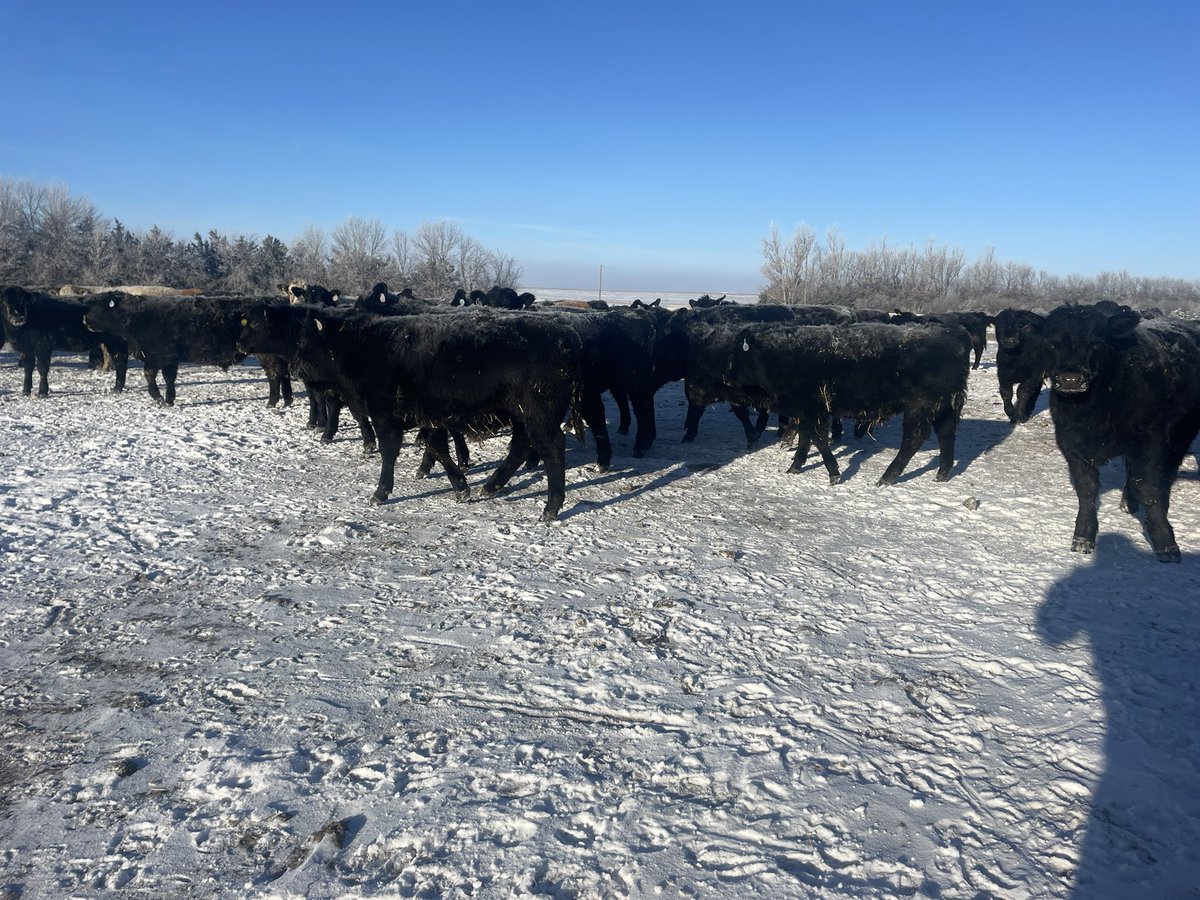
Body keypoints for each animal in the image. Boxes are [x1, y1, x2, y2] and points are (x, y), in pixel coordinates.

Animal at [0, 285, 129, 396]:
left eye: (24, 302)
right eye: (5, 302)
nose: (18, 317)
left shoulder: (42, 345)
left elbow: (42, 368)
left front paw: (42, 392)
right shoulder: (27, 347)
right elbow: (28, 368)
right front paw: (26, 391)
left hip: (116, 342)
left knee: (120, 362)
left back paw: (117, 388)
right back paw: (117, 388)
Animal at [723, 322, 971, 485]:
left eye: (738, 353)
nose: (726, 378)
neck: (782, 355)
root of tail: (955, 332)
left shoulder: (812, 409)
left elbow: (818, 439)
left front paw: (833, 473)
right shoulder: (806, 411)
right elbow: (806, 438)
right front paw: (796, 466)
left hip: (919, 407)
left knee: (914, 439)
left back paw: (886, 477)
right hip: (944, 407)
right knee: (946, 434)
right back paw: (942, 474)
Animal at [1041, 302, 1200, 562]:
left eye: (1096, 343)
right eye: (1052, 344)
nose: (1070, 379)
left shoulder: (1151, 441)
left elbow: (1149, 488)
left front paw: (1165, 542)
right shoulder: (1070, 443)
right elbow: (1086, 489)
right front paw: (1083, 537)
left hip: (1180, 435)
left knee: (1165, 473)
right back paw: (1128, 502)